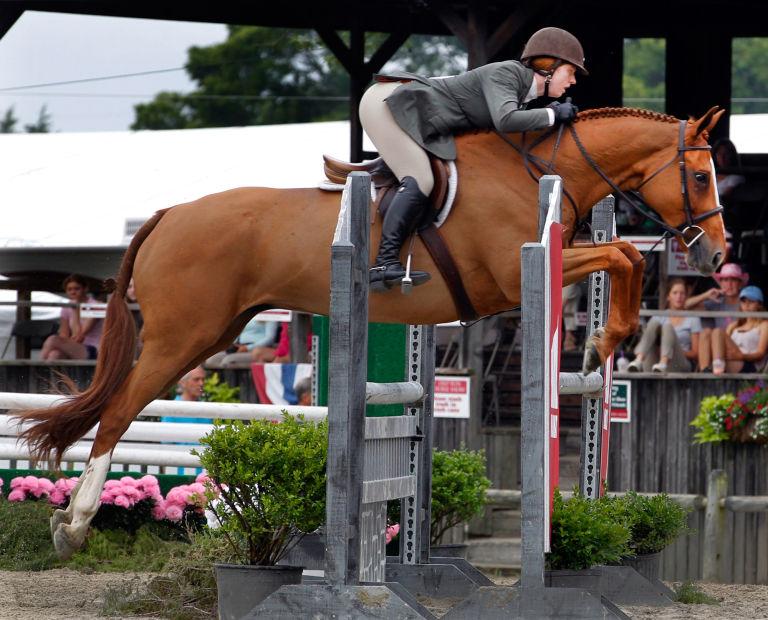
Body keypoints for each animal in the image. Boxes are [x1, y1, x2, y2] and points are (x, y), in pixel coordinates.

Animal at [13, 106, 726, 559]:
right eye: (699, 175)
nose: (717, 255)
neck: (532, 171)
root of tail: (169, 213)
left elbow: (624, 256)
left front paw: (605, 342)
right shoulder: (512, 270)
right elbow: (626, 256)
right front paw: (608, 341)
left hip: (217, 332)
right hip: (179, 338)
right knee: (118, 412)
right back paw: (73, 526)